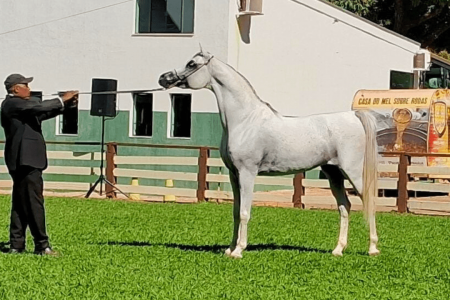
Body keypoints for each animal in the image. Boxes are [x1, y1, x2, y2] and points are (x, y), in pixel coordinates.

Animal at [159, 51, 380, 258]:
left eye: (192, 64)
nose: (164, 78)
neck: (245, 120)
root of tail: (354, 116)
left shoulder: (247, 173)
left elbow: (245, 212)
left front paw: (239, 250)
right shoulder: (233, 175)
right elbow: (236, 212)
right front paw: (230, 249)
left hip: (353, 173)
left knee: (369, 203)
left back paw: (373, 249)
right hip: (333, 173)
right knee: (345, 206)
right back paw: (338, 249)